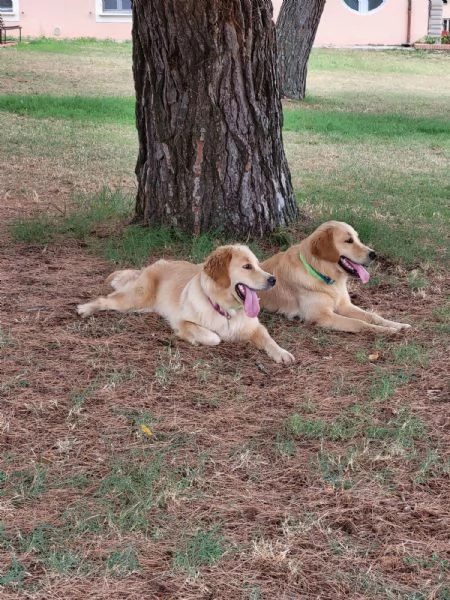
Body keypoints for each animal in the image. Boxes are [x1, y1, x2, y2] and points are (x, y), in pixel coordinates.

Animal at [77, 243, 296, 364]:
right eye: (247, 266)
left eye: (258, 265)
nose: (273, 280)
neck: (226, 310)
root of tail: (154, 264)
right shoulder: (182, 321)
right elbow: (214, 337)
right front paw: (196, 339)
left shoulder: (255, 327)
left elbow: (269, 339)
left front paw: (282, 353)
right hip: (134, 299)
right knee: (104, 300)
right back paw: (85, 309)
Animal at [260, 220, 412, 332]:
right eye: (349, 240)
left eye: (358, 239)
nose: (374, 254)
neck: (322, 273)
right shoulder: (322, 316)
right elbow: (359, 323)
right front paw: (387, 331)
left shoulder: (345, 305)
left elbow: (372, 316)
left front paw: (398, 325)